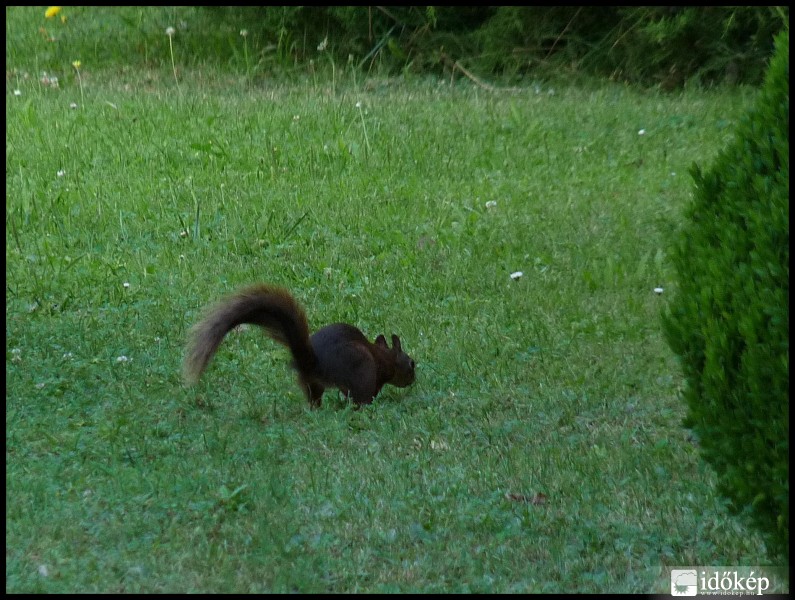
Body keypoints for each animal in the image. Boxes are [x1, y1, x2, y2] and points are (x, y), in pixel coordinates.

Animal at [183, 282, 414, 406]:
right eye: (412, 363)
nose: (413, 380)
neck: (385, 356)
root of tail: (313, 363)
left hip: (311, 383)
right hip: (360, 369)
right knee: (357, 398)